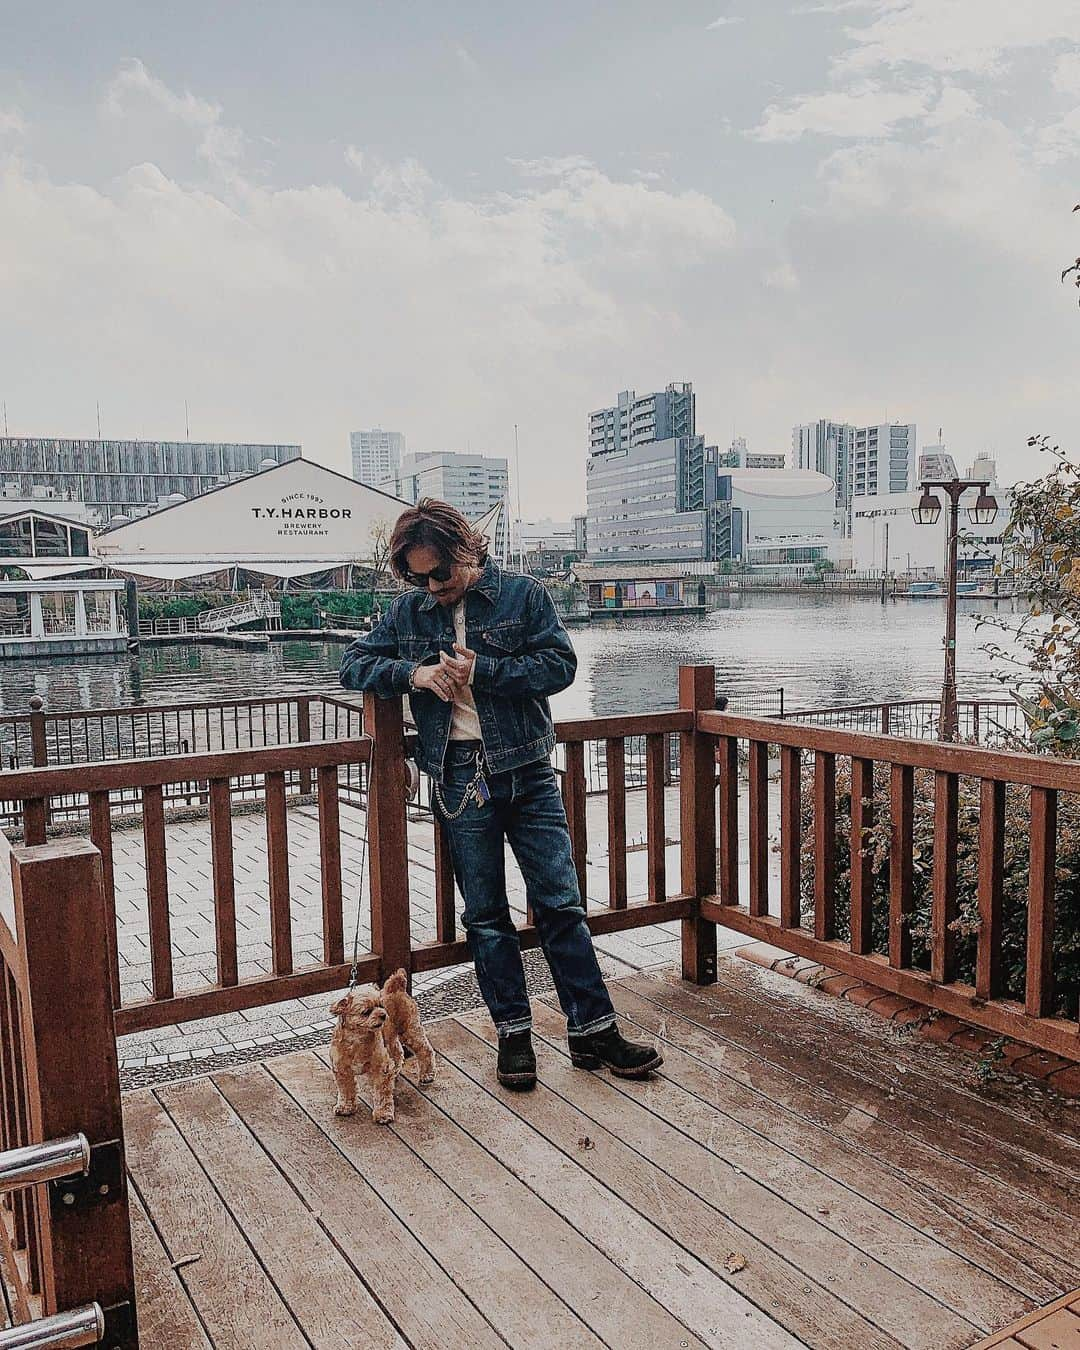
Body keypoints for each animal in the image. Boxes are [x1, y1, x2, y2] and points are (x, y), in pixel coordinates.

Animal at [329, 966, 434, 1123]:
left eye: (380, 1005)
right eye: (366, 1012)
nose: (383, 1015)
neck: (358, 1039)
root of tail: (395, 985)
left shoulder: (381, 1069)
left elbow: (382, 1093)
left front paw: (383, 1114)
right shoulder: (342, 1069)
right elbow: (346, 1089)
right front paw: (346, 1107)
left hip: (410, 1029)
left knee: (425, 1050)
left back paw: (427, 1074)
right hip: (390, 1038)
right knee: (398, 1052)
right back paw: (396, 1070)